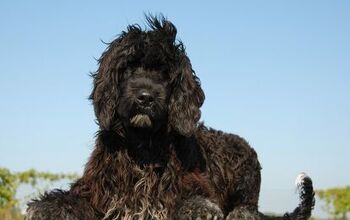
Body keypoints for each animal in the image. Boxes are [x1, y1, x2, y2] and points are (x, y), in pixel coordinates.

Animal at [25, 15, 314, 220]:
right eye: (129, 68)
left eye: (164, 72)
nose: (145, 97)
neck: (143, 147)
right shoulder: (97, 191)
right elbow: (72, 199)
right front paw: (48, 207)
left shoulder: (190, 185)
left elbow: (195, 199)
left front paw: (199, 210)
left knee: (250, 207)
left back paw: (241, 213)